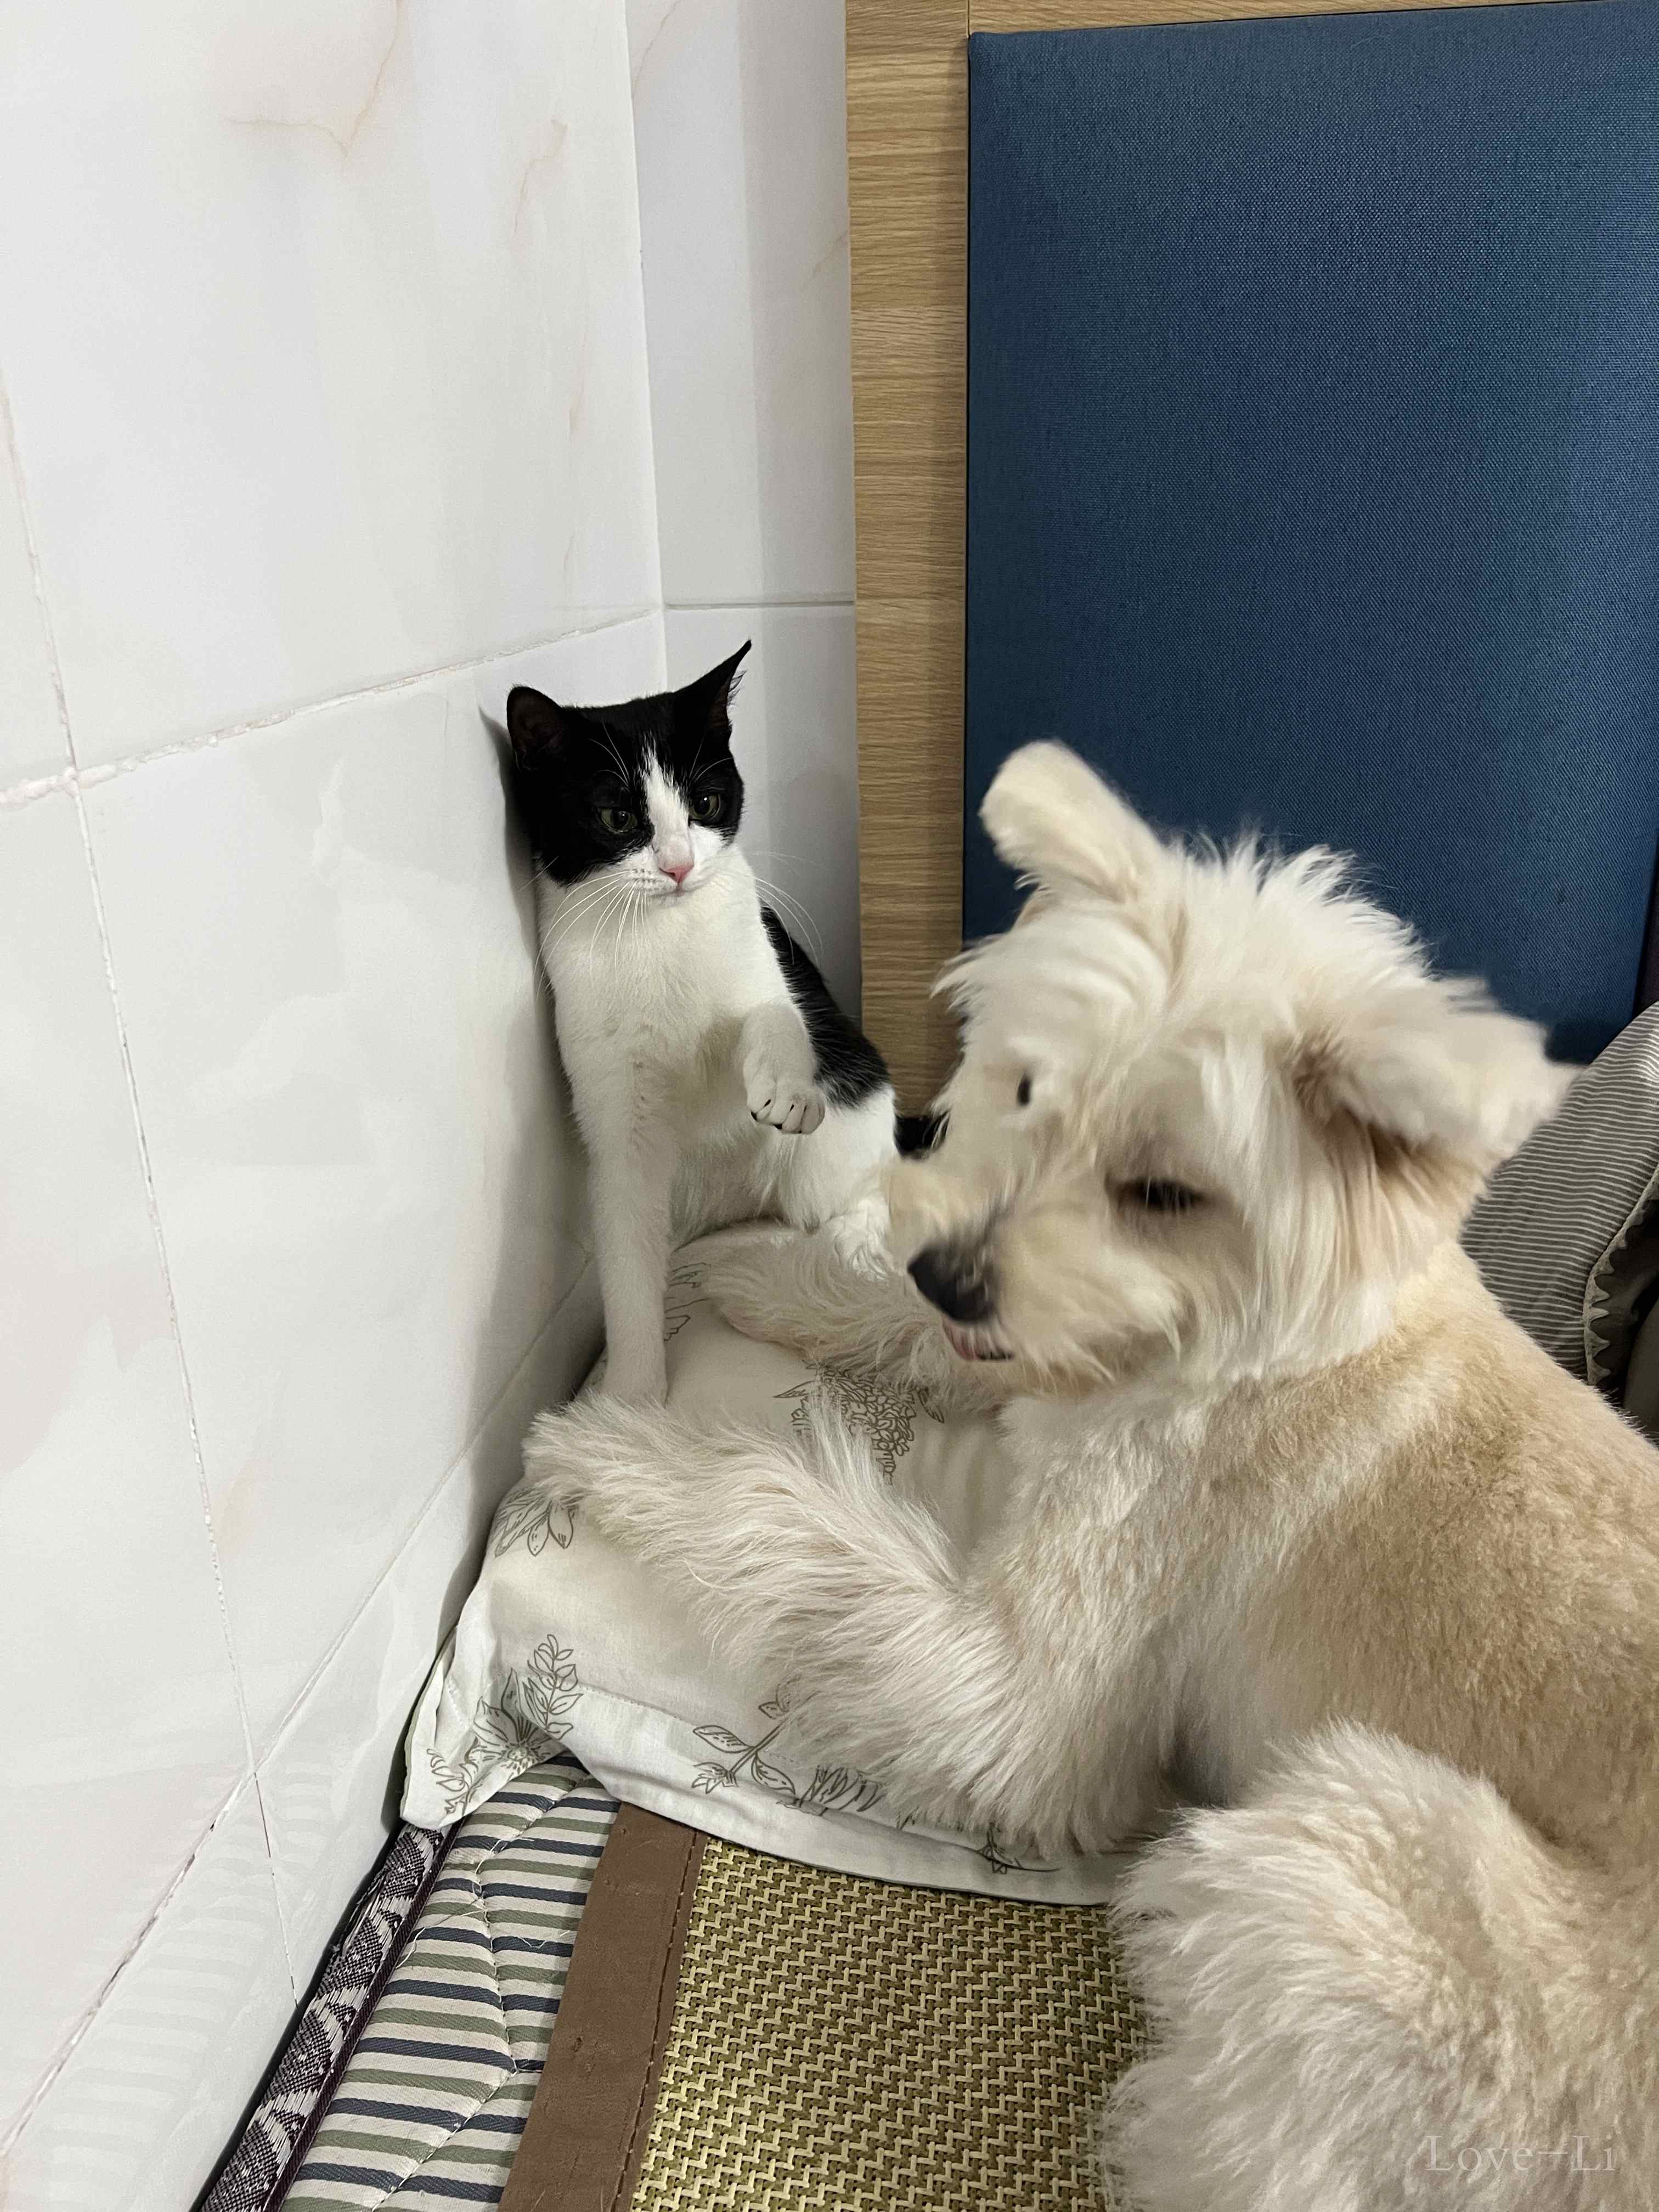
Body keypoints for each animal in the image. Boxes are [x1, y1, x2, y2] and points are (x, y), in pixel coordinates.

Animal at [505, 642, 900, 1404]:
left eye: (706, 804)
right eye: (618, 819)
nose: (680, 866)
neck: (661, 931)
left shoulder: (758, 956)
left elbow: (772, 1014)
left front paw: (786, 1089)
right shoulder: (616, 1113)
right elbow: (626, 1247)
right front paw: (630, 1401)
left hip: (847, 1119)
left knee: (866, 1187)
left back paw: (855, 1243)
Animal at [525, 743, 1659, 2208]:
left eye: (1168, 1193)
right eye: (1024, 1093)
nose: (952, 1273)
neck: (1240, 1360)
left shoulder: (1018, 1695)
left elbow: (776, 1508)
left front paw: (611, 1444)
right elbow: (880, 1315)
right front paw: (745, 1274)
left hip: (1334, 1867)